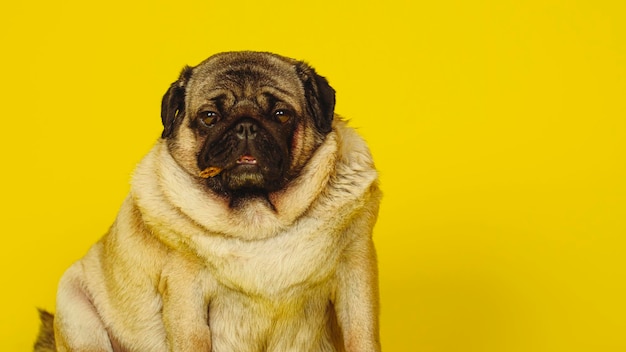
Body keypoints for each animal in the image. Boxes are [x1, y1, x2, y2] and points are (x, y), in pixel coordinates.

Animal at [35, 50, 380, 352]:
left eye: (281, 114)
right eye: (210, 117)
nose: (245, 125)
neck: (256, 217)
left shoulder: (356, 273)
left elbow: (361, 334)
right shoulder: (186, 294)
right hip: (76, 310)